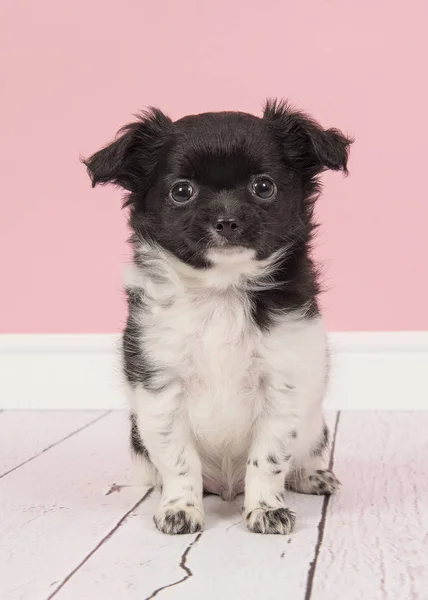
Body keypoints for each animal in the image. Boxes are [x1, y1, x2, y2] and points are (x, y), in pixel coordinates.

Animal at [83, 99, 352, 536]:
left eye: (264, 187)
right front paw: (179, 508)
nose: (226, 221)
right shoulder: (160, 385)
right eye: (181, 191)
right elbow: (178, 458)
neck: (222, 291)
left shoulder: (285, 383)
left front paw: (266, 509)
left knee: (305, 453)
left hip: (315, 426)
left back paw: (311, 476)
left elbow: (269, 457)